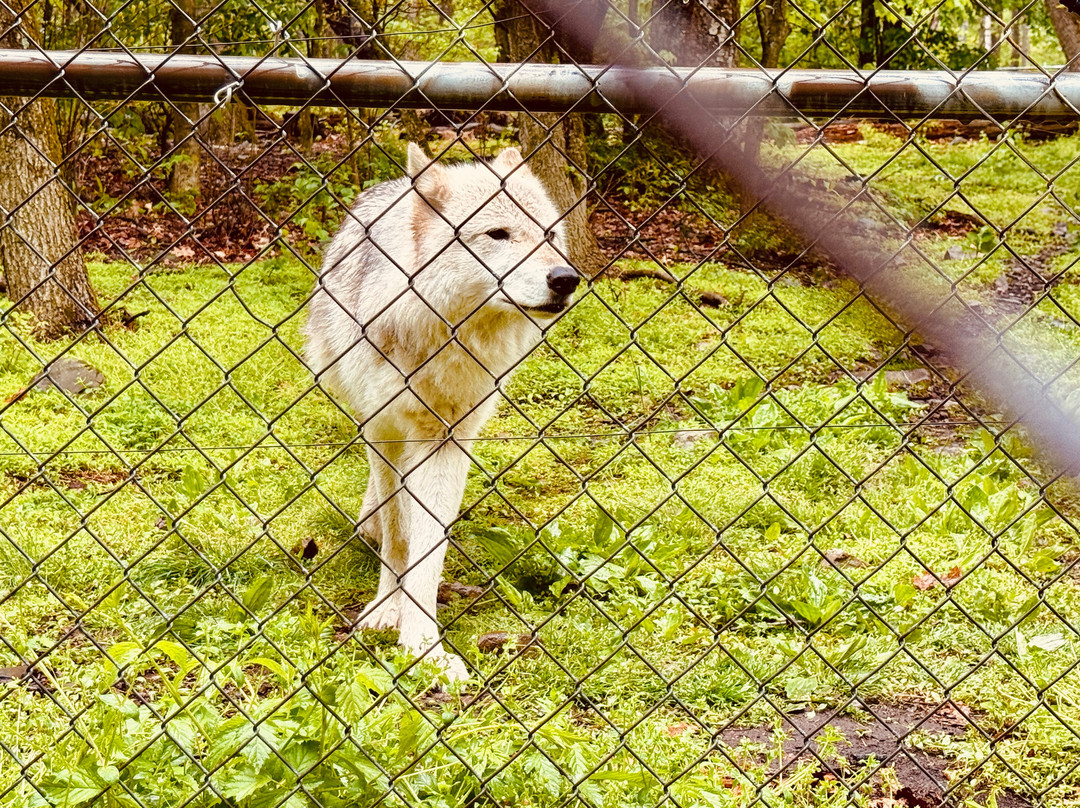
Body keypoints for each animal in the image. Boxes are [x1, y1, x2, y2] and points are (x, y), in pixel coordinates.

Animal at [305, 143, 580, 681]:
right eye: (498, 234)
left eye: (551, 235)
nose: (565, 279)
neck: (448, 336)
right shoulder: (384, 429)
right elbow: (399, 535)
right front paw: (386, 613)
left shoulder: (446, 440)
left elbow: (429, 545)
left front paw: (424, 646)